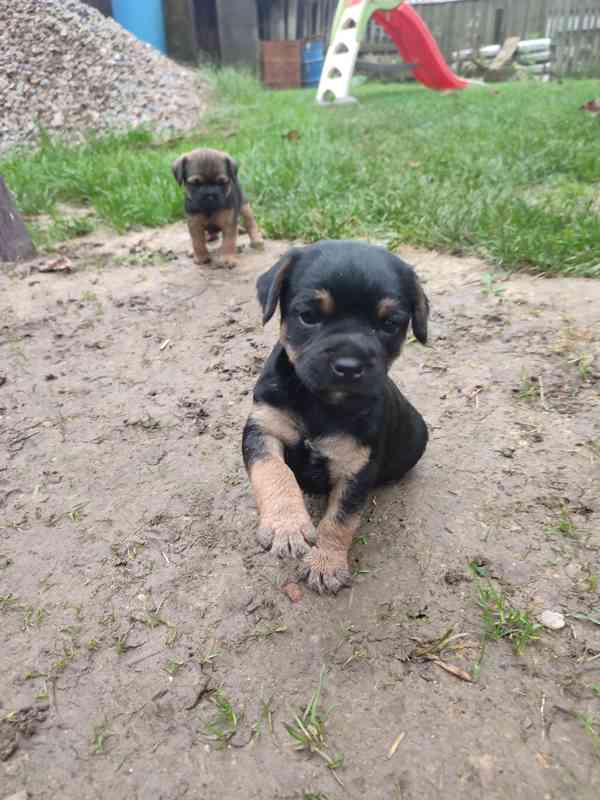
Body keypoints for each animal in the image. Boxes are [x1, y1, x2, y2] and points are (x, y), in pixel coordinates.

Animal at [241, 238, 428, 592]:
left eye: (389, 324)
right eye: (308, 316)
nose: (349, 366)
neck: (320, 402)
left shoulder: (357, 464)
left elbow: (340, 520)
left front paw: (326, 564)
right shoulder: (263, 428)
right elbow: (274, 472)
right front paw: (287, 526)